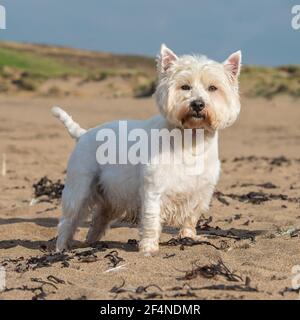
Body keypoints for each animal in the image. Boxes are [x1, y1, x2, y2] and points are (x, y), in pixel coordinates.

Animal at [51, 44, 241, 255]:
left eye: (213, 88)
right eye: (185, 86)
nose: (198, 104)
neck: (191, 139)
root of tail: (83, 134)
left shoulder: (201, 191)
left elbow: (191, 217)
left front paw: (189, 237)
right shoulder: (153, 188)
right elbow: (151, 219)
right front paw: (149, 248)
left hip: (110, 196)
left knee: (98, 219)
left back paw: (91, 243)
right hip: (80, 186)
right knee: (68, 220)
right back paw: (61, 248)